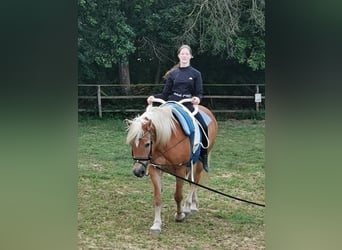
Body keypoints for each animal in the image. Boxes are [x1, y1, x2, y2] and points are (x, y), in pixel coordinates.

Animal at [125, 97, 216, 234]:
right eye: (131, 144)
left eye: (147, 144)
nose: (137, 171)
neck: (165, 141)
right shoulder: (155, 169)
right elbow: (157, 197)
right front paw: (156, 224)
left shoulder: (180, 169)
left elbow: (178, 195)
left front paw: (180, 215)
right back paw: (193, 204)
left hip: (199, 161)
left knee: (194, 182)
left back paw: (188, 207)